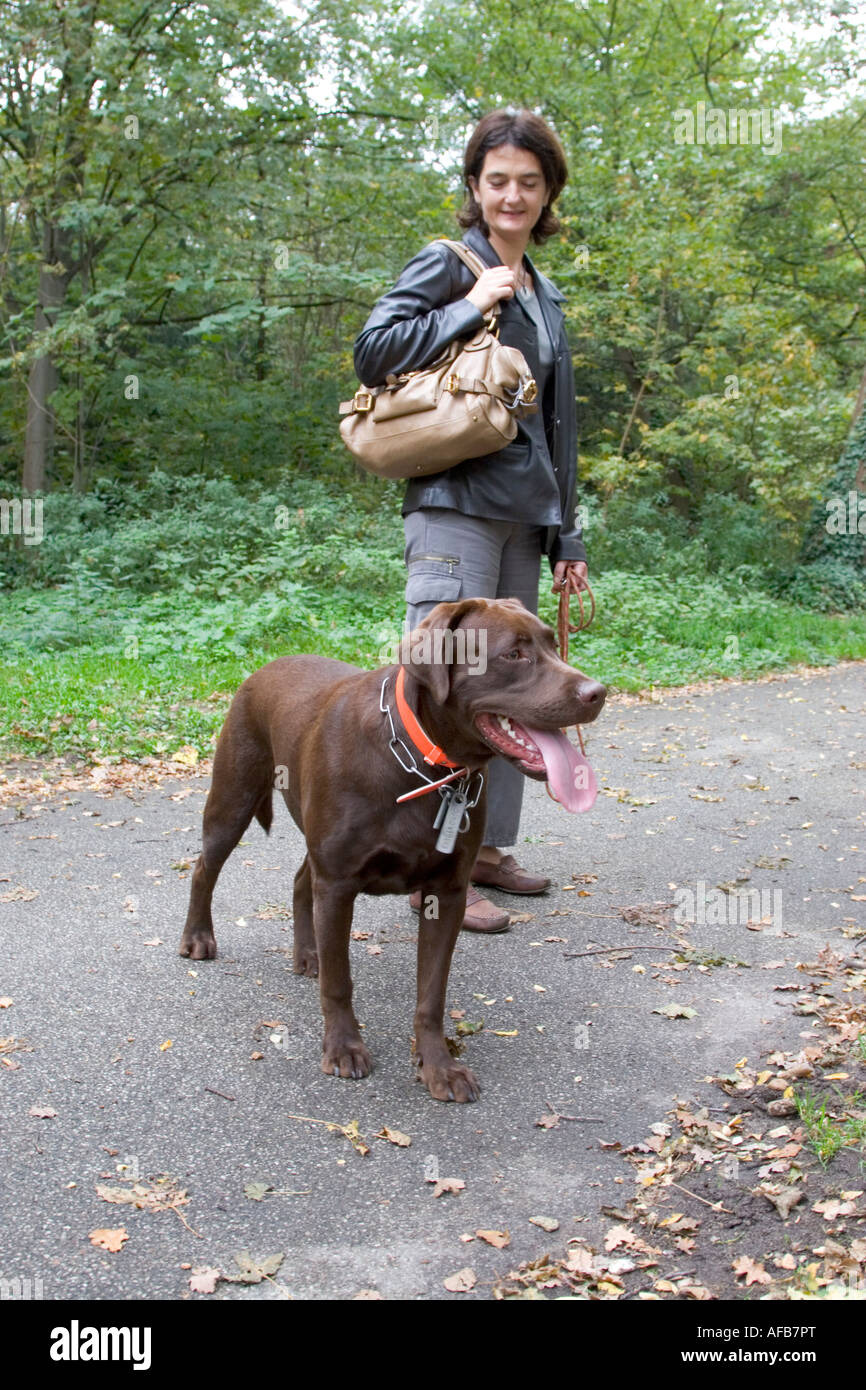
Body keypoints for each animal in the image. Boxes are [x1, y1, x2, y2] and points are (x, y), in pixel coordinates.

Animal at [179, 597, 606, 1095]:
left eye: (552, 645)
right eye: (513, 654)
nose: (598, 692)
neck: (426, 764)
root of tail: (266, 666)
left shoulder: (447, 893)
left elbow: (432, 994)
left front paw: (438, 1065)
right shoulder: (339, 883)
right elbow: (341, 983)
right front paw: (344, 1048)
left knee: (301, 879)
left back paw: (308, 954)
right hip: (234, 797)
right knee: (205, 868)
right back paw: (198, 938)